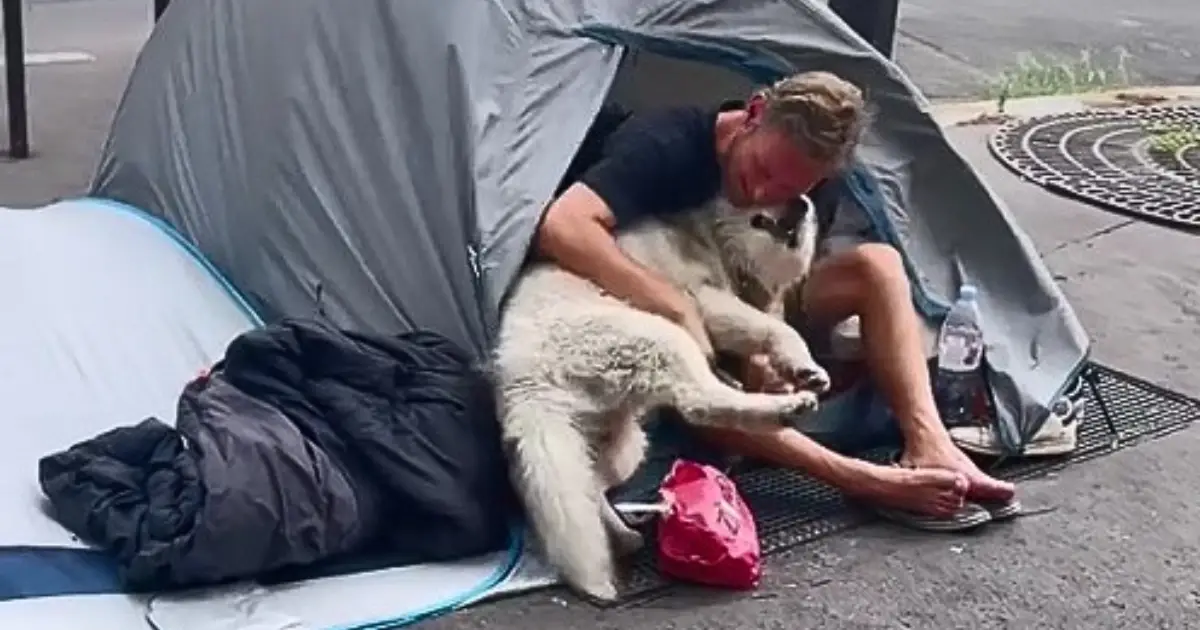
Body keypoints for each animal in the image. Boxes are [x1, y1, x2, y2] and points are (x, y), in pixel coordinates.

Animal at [492, 192, 830, 600]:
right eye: (765, 203)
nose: (803, 203)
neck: (718, 242)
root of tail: (523, 381)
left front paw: (801, 369)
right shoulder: (706, 301)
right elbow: (776, 329)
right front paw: (802, 369)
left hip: (619, 439)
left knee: (589, 484)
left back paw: (622, 536)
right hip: (659, 338)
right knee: (699, 402)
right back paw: (783, 409)